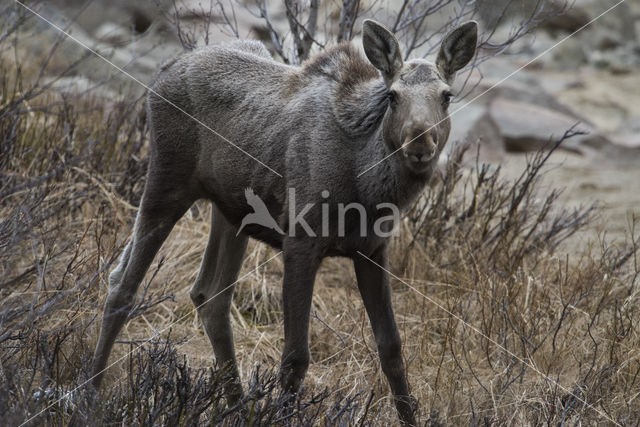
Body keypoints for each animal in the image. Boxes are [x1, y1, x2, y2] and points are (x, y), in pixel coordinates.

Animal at [92, 19, 478, 424]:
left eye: (446, 95)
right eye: (393, 95)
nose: (419, 141)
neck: (368, 187)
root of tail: (163, 73)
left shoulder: (372, 249)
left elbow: (391, 348)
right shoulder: (300, 242)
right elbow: (295, 357)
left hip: (229, 211)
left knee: (210, 295)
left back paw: (236, 408)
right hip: (166, 183)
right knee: (122, 286)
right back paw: (88, 397)